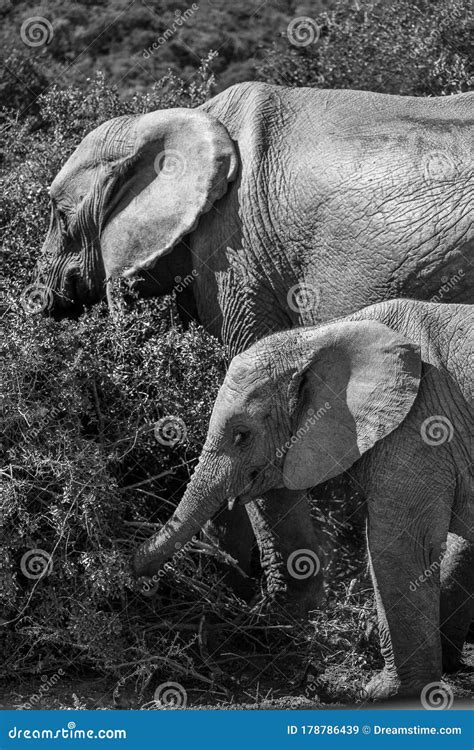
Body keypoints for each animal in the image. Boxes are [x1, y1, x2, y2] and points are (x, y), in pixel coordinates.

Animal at [135, 302, 472, 704]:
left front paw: (386, 694)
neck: (321, 336)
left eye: (241, 435)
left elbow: (401, 548)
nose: (136, 578)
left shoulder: (421, 428)